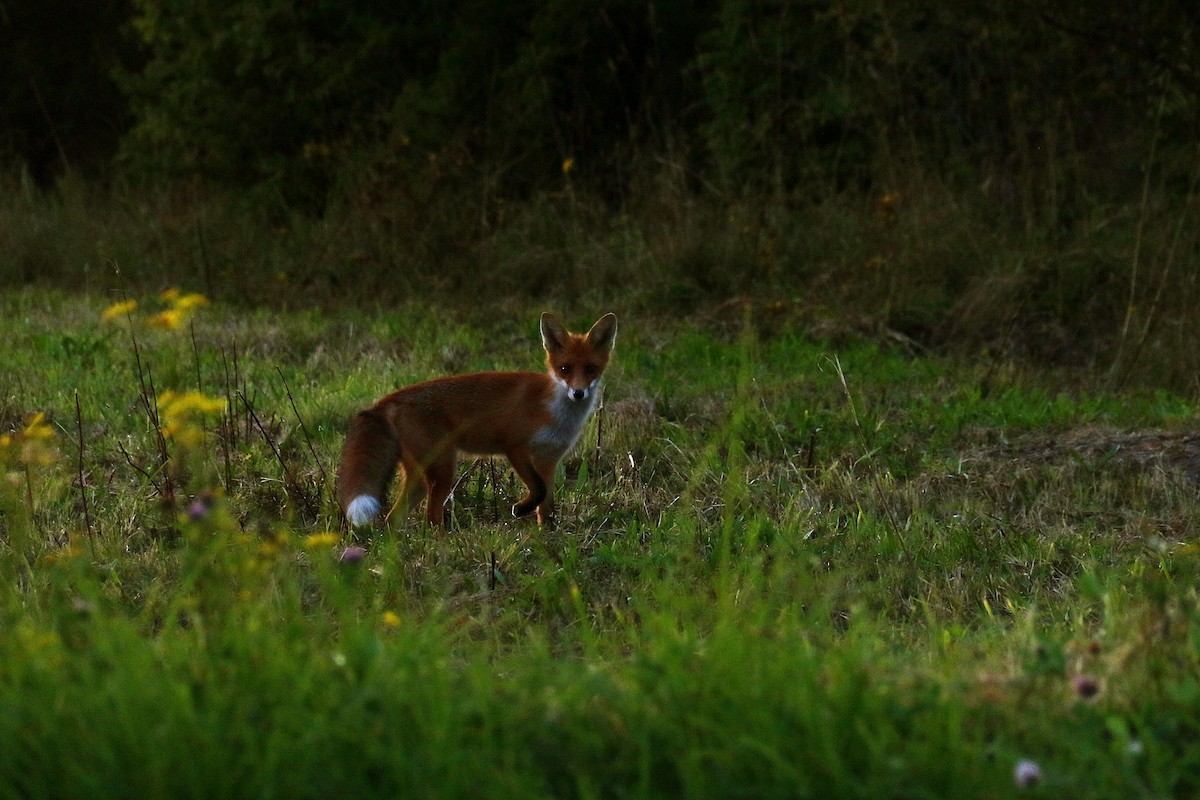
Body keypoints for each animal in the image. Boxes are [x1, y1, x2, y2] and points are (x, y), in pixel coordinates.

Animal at [337, 312, 618, 528]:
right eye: (564, 369)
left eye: (591, 369)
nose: (578, 393)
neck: (555, 410)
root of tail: (387, 399)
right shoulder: (514, 446)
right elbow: (538, 490)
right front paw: (520, 509)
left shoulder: (548, 460)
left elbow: (546, 504)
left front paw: (546, 536)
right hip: (442, 469)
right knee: (431, 518)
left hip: (421, 476)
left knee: (393, 519)